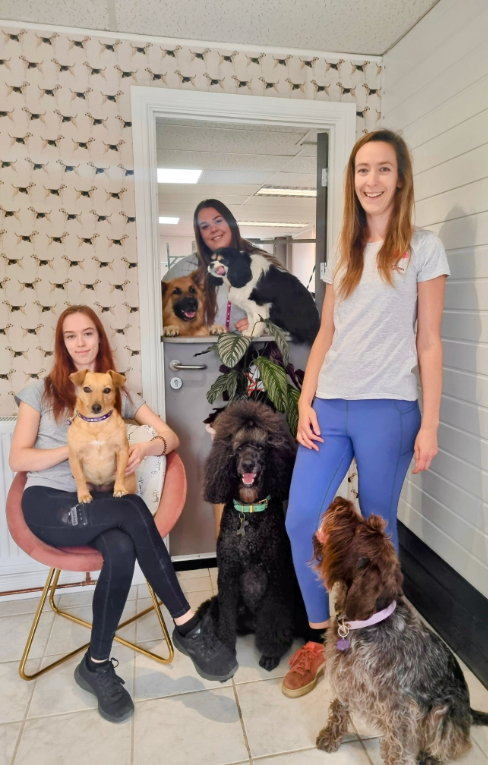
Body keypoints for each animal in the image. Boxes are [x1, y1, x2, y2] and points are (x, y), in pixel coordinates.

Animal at [66, 368, 135, 502]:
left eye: (107, 390)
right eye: (87, 389)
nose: (96, 407)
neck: (96, 423)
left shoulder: (122, 451)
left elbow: (120, 472)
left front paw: (119, 489)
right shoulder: (74, 457)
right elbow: (80, 478)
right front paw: (84, 495)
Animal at [312, 496, 488, 764]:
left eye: (358, 529)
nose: (341, 499)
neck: (366, 624)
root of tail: (468, 710)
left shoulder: (398, 709)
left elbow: (396, 745)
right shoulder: (345, 678)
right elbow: (339, 707)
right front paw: (331, 736)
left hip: (442, 712)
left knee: (455, 743)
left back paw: (431, 756)